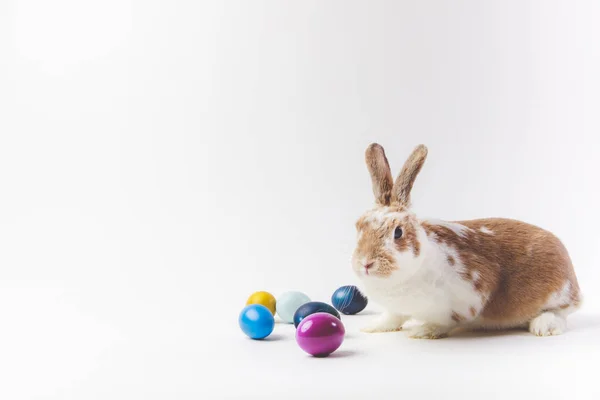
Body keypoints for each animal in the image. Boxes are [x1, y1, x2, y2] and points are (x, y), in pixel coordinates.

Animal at [352, 144, 580, 338]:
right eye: (358, 226)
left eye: (398, 232)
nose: (366, 263)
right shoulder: (397, 309)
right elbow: (393, 317)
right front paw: (373, 327)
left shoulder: (467, 296)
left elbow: (445, 322)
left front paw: (423, 331)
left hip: (558, 295)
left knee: (562, 313)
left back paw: (544, 326)